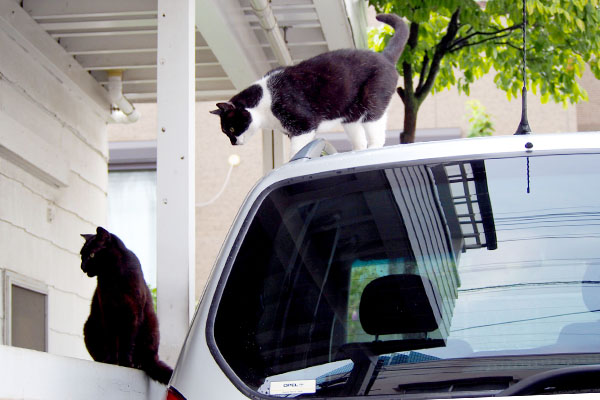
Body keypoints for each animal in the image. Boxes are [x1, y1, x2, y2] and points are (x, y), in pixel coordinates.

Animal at [81, 225, 172, 384]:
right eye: (81, 255)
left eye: (91, 255)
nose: (82, 266)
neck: (112, 277)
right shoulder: (107, 312)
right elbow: (111, 340)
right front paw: (112, 361)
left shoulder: (133, 313)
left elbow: (128, 341)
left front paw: (126, 363)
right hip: (89, 326)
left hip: (151, 326)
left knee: (147, 360)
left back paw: (138, 364)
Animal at [209, 13, 410, 156]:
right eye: (225, 132)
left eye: (231, 129)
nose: (233, 142)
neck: (264, 103)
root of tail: (385, 57)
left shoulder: (303, 125)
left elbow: (296, 151)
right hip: (350, 115)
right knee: (358, 136)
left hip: (372, 99)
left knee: (376, 127)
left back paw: (373, 147)